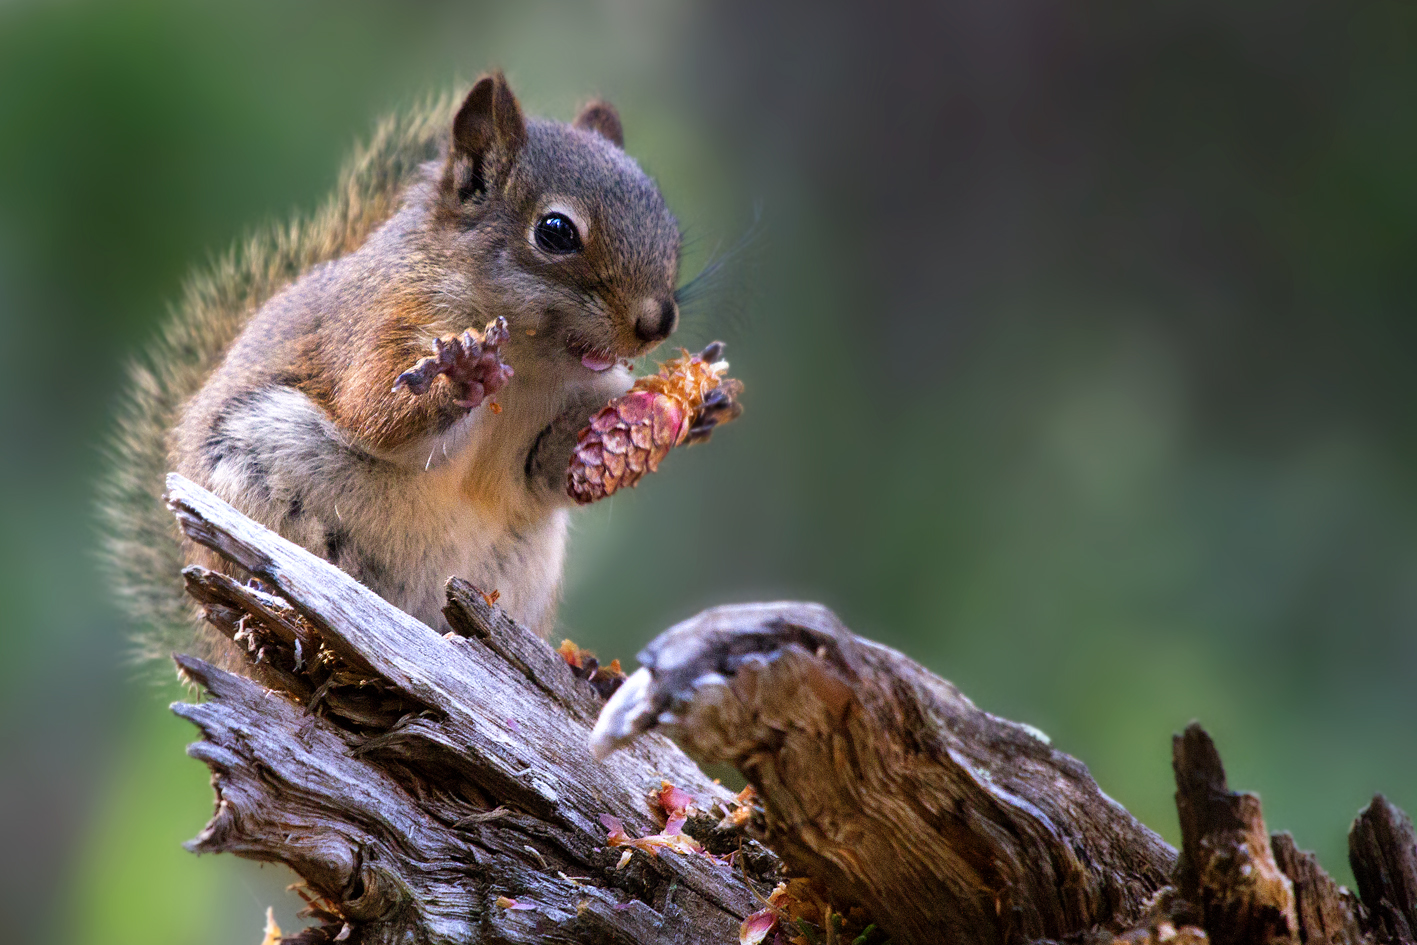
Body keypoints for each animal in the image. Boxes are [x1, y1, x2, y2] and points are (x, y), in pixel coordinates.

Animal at [99, 72, 736, 671]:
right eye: (556, 231)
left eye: (669, 227)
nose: (658, 322)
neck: (533, 368)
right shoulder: (379, 325)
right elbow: (374, 412)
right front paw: (463, 377)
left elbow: (553, 469)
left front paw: (700, 404)